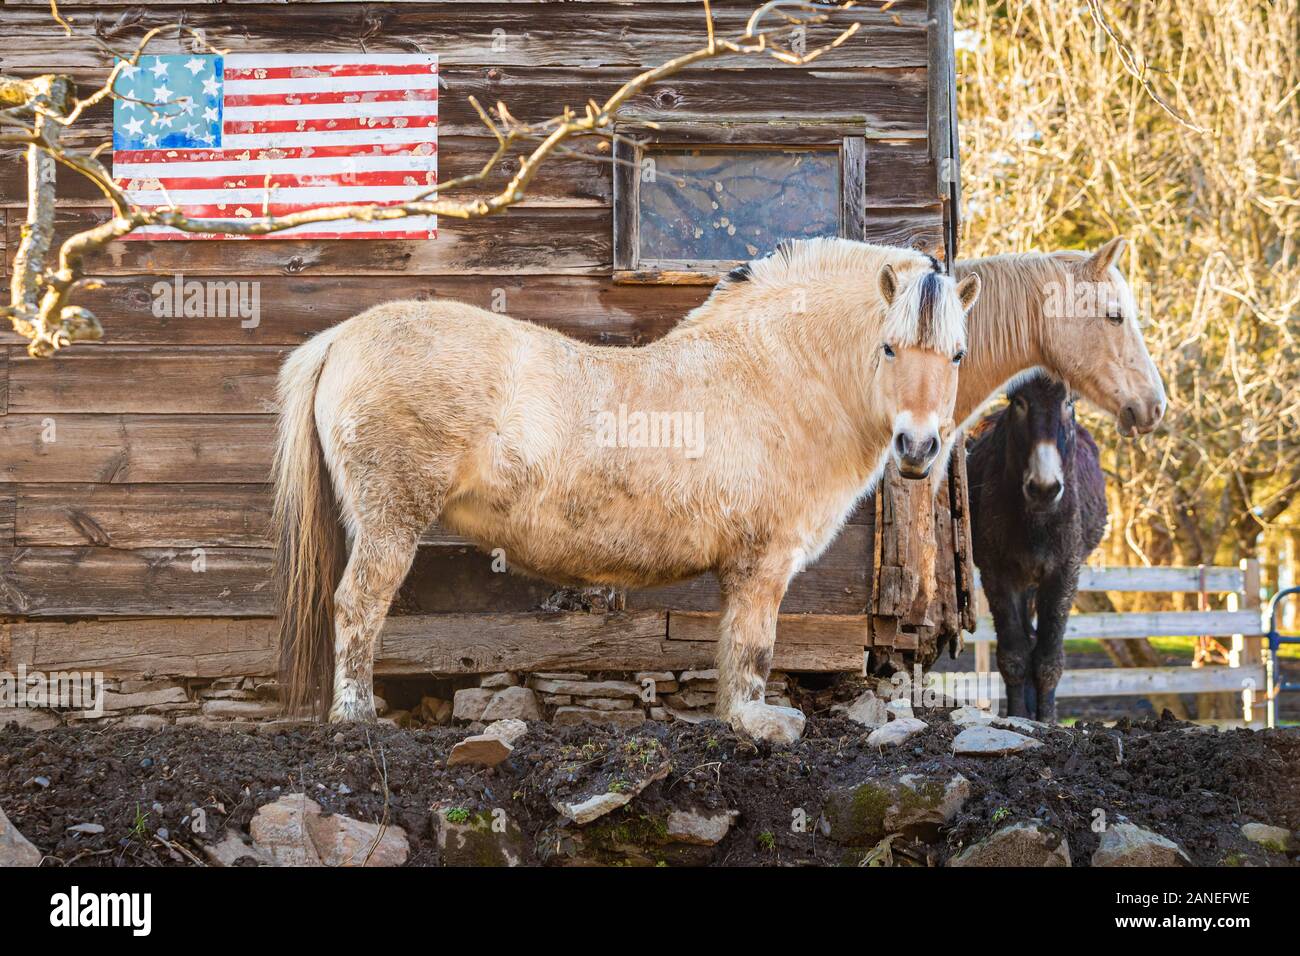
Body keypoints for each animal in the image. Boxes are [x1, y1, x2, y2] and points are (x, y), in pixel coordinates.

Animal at [273, 238, 982, 725]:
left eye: (956, 355)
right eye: (889, 348)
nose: (918, 447)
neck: (772, 372)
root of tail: (341, 338)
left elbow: (733, 649)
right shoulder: (763, 563)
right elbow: (753, 648)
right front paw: (758, 724)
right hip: (390, 520)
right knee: (358, 605)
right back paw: (357, 716)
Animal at [966, 374, 1107, 723]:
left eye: (1069, 402)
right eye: (1018, 401)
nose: (1044, 489)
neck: (1037, 522)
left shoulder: (1064, 571)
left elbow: (1048, 656)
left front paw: (1047, 721)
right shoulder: (997, 573)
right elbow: (1015, 652)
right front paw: (1018, 716)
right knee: (1026, 639)